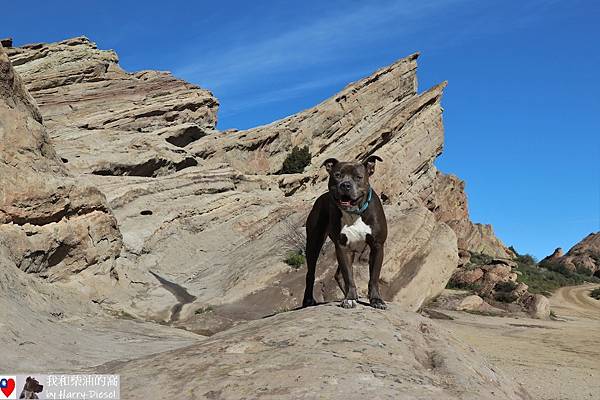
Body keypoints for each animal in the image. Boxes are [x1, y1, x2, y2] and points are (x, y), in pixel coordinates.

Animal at [302, 155, 386, 310]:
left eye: (358, 177)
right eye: (337, 175)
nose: (345, 185)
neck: (355, 213)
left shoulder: (377, 246)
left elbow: (374, 277)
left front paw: (376, 300)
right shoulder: (342, 247)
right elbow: (348, 275)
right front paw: (350, 299)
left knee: (338, 275)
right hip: (313, 243)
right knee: (311, 273)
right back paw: (308, 300)